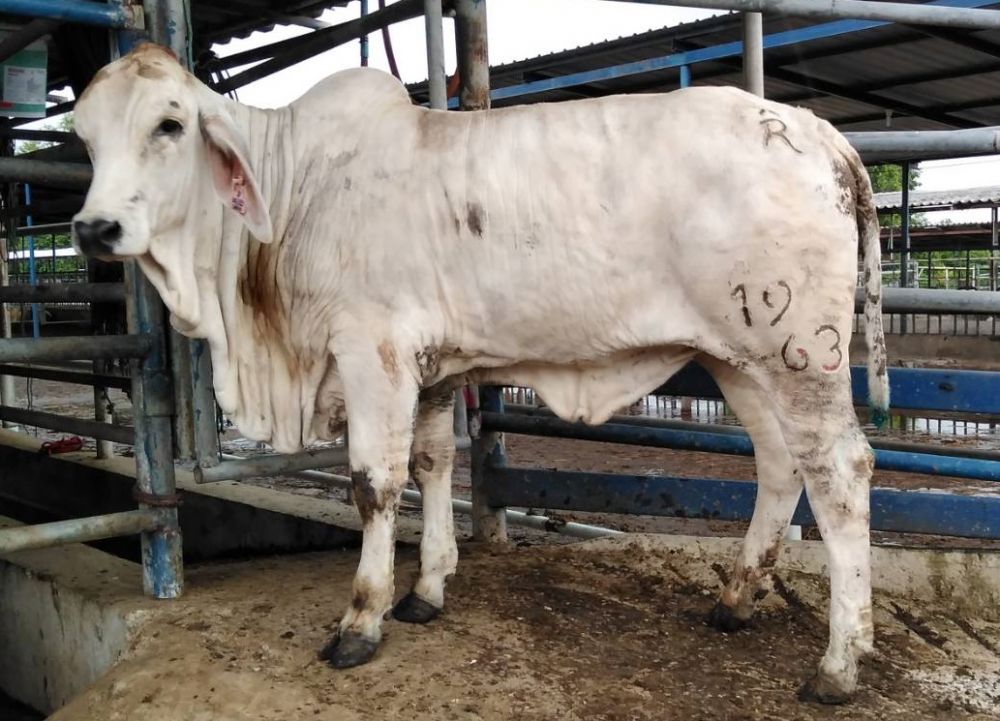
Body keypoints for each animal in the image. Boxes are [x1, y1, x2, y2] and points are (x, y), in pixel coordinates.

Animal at [72, 43, 889, 704]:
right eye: (83, 134)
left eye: (170, 125)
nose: (93, 227)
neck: (296, 189)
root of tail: (819, 133)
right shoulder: (432, 366)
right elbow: (434, 463)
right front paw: (427, 589)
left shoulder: (372, 350)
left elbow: (375, 483)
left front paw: (362, 618)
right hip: (737, 359)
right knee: (780, 464)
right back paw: (736, 598)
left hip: (798, 354)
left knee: (840, 473)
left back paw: (838, 665)